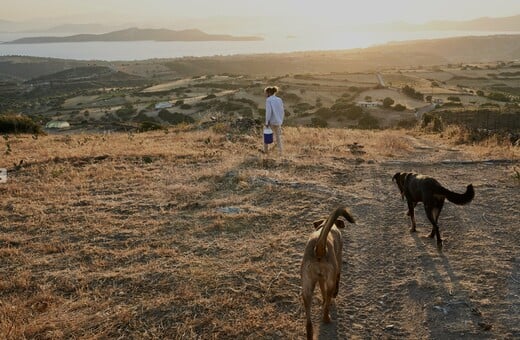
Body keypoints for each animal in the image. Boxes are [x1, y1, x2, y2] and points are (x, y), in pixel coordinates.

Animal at [298, 206, 356, 338]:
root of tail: (319, 247)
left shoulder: (320, 279)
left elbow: (322, 291)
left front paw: (323, 301)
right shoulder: (338, 264)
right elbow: (337, 281)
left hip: (307, 289)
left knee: (309, 323)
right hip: (330, 279)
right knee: (328, 302)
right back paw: (327, 318)